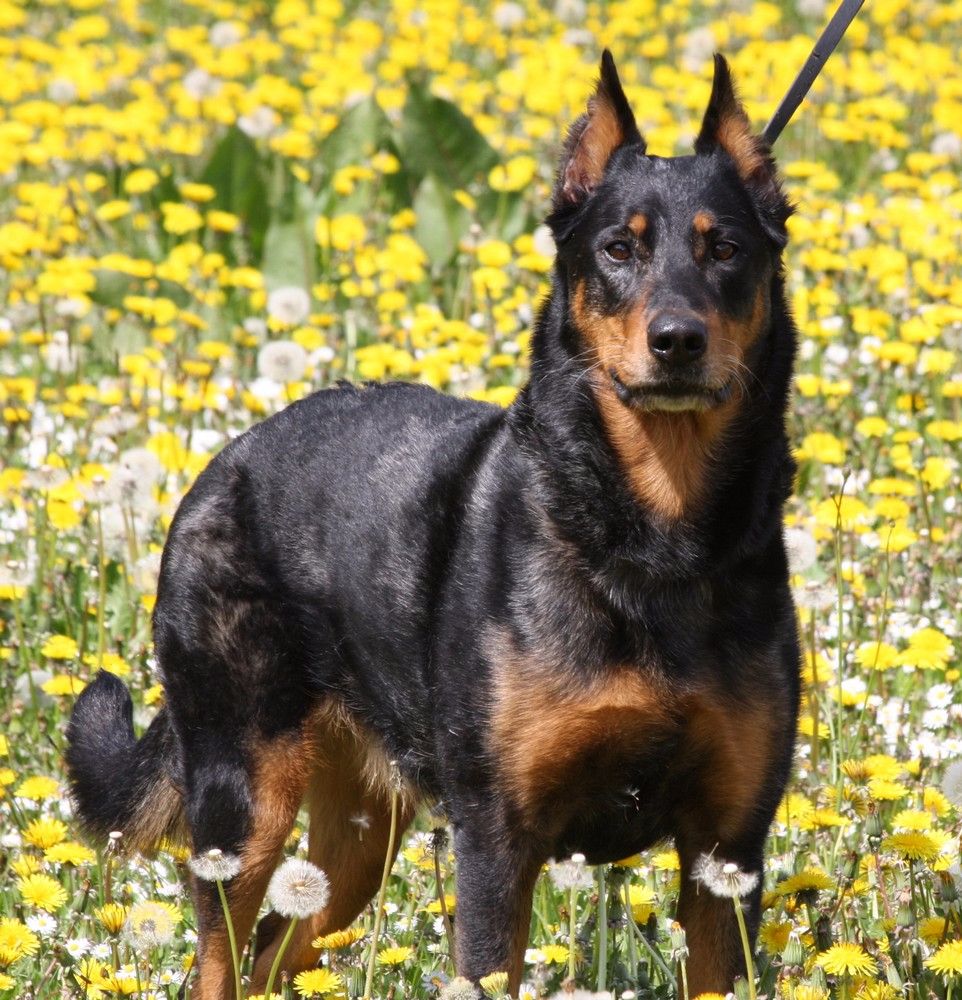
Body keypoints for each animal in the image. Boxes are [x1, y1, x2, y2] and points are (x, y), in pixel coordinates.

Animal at [67, 52, 800, 992]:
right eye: (618, 248)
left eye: (727, 249)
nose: (677, 339)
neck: (648, 534)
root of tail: (227, 457)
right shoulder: (497, 838)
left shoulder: (728, 849)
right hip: (244, 798)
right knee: (224, 959)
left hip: (359, 838)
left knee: (279, 950)